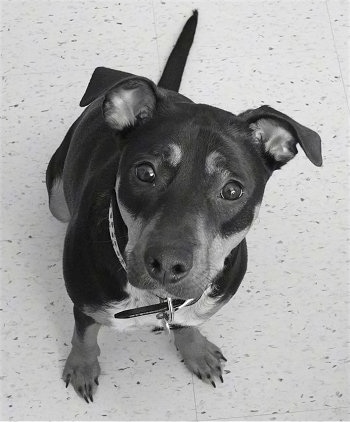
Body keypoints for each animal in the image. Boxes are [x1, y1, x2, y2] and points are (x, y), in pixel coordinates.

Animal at [46, 10, 322, 402]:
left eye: (233, 190)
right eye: (145, 172)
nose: (167, 264)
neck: (158, 300)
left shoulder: (196, 304)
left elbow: (189, 324)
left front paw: (196, 350)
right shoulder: (85, 305)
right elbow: (84, 335)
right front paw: (82, 366)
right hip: (56, 197)